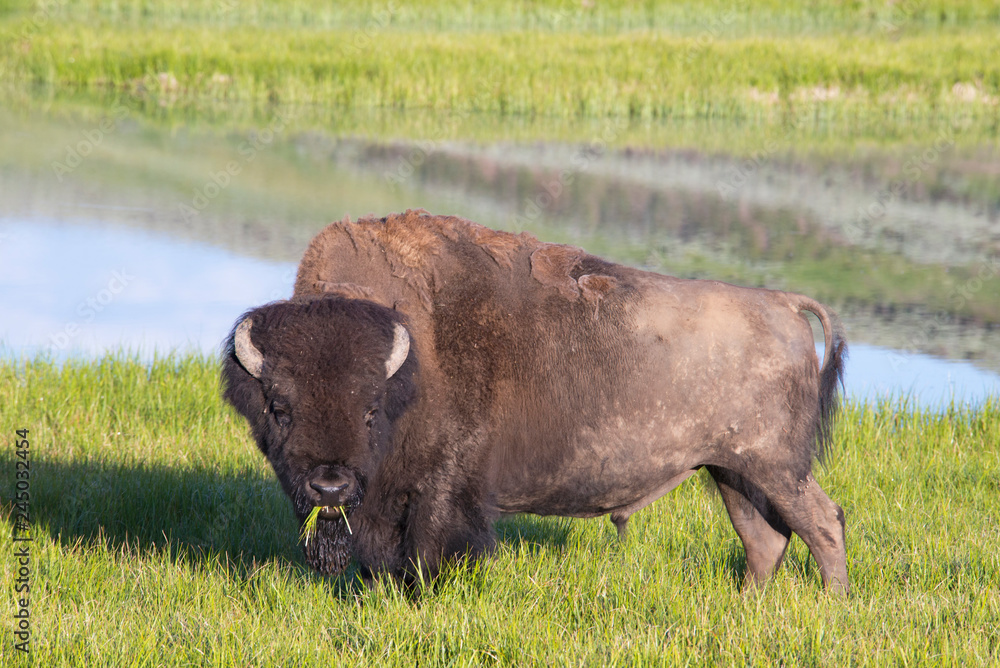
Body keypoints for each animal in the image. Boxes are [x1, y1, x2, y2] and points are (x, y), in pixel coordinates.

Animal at [223, 209, 848, 588]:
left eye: (370, 409)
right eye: (279, 408)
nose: (329, 487)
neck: (410, 360)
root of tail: (785, 305)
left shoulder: (439, 490)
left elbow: (428, 550)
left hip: (775, 466)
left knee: (823, 522)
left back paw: (832, 605)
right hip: (731, 471)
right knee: (765, 537)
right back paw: (752, 602)